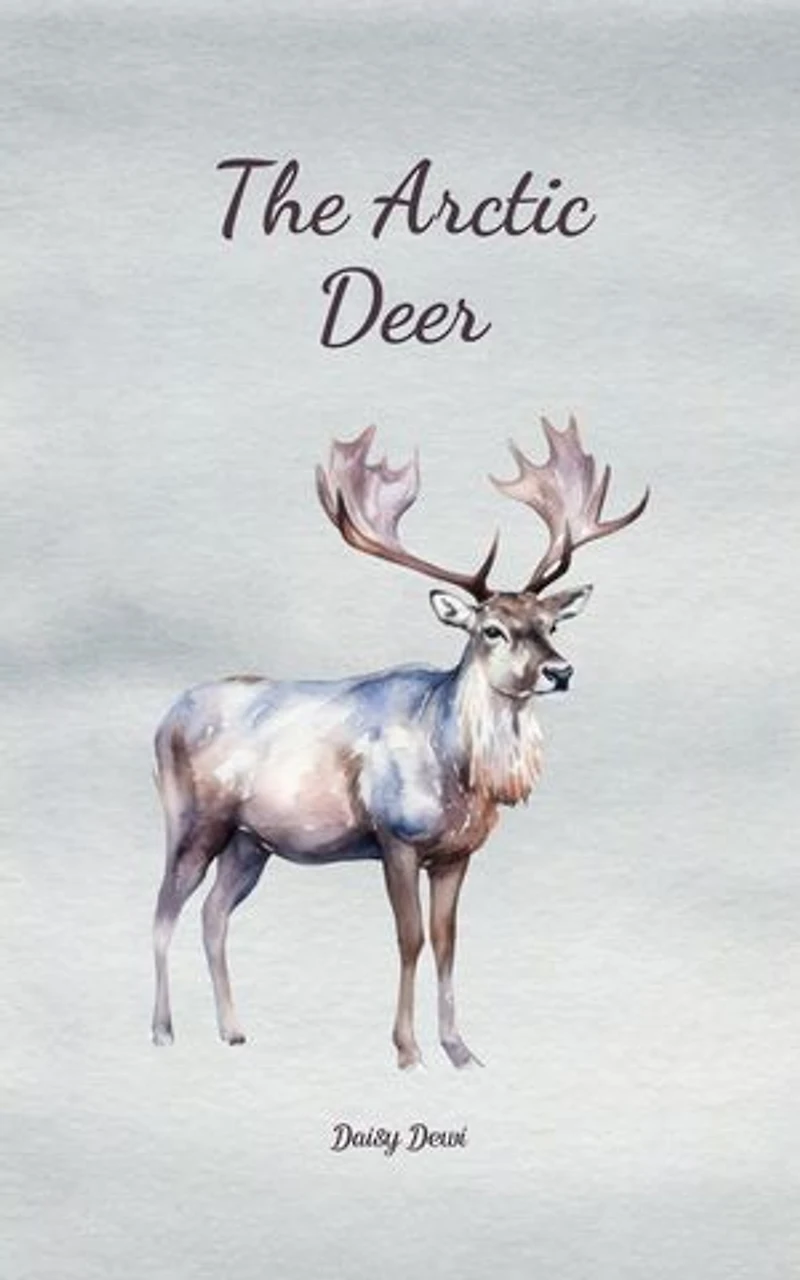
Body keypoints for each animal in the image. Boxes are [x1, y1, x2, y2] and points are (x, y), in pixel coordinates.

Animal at [151, 416, 648, 1069]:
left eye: (550, 624)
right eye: (491, 629)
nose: (559, 671)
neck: (458, 771)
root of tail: (163, 721)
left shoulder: (457, 853)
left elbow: (446, 941)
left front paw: (461, 1050)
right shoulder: (396, 836)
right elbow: (409, 939)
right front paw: (408, 1050)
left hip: (250, 842)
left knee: (212, 915)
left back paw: (233, 1030)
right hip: (193, 819)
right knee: (163, 912)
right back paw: (162, 1031)